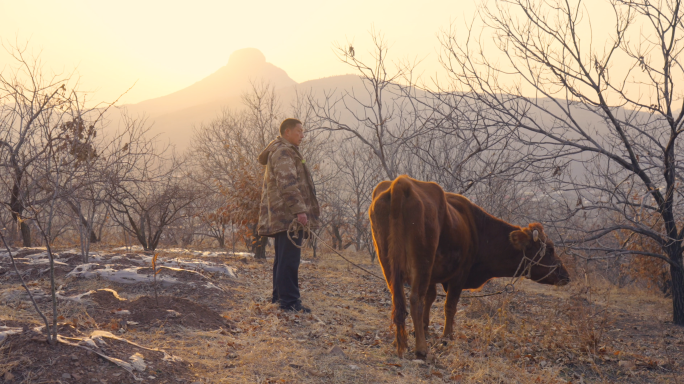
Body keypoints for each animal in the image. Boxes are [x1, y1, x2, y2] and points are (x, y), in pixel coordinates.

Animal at [372, 176, 568, 358]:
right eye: (550, 249)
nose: (565, 275)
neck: (476, 228)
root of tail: (402, 183)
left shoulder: (434, 275)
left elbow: (431, 297)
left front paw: (424, 329)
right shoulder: (460, 274)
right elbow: (449, 305)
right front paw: (447, 336)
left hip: (388, 261)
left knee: (398, 299)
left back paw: (400, 342)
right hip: (422, 264)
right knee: (415, 299)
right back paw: (421, 349)